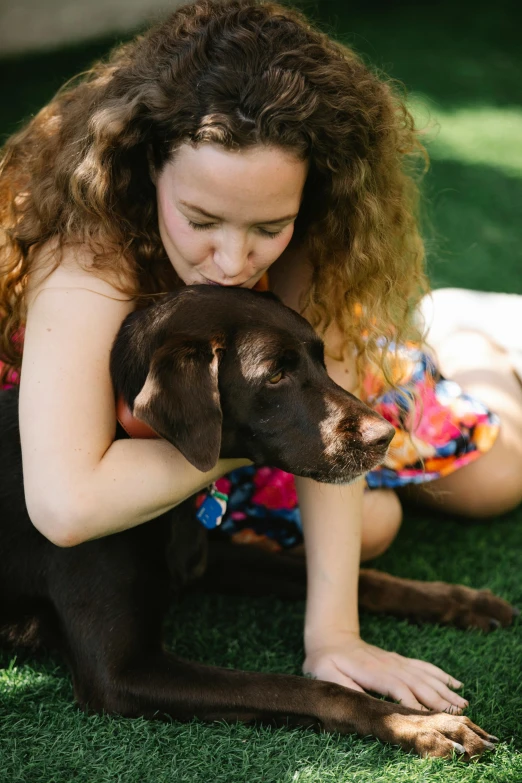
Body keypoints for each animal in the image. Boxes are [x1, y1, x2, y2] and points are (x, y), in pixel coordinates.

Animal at [0, 288, 512, 760]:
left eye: (320, 359)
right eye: (275, 375)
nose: (385, 436)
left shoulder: (204, 560)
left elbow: (366, 579)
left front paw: (462, 600)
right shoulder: (120, 672)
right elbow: (308, 688)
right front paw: (419, 724)